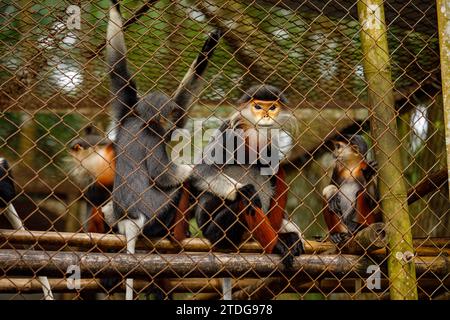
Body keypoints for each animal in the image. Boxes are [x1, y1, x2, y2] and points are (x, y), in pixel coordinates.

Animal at [104, 1, 220, 298]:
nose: (165, 122)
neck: (143, 122)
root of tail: (130, 220)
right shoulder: (154, 136)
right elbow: (162, 174)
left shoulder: (127, 110)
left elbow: (117, 69)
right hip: (155, 215)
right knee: (178, 189)